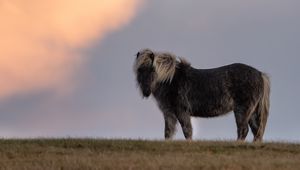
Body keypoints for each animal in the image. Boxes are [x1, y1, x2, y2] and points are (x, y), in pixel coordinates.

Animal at [134, 48, 270, 141]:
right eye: (139, 70)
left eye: (152, 70)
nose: (146, 92)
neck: (171, 80)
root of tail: (259, 74)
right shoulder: (168, 113)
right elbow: (168, 133)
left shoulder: (182, 111)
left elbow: (187, 131)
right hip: (252, 112)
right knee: (256, 131)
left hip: (242, 110)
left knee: (243, 130)